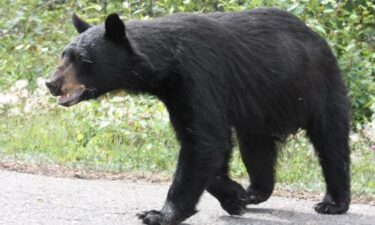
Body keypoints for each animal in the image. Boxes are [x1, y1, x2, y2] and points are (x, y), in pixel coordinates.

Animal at [45, 7, 352, 225]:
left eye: (84, 61)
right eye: (64, 55)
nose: (52, 83)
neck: (166, 67)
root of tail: (319, 37)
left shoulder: (199, 78)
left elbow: (205, 140)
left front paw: (158, 214)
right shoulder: (176, 94)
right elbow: (208, 142)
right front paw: (234, 196)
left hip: (319, 87)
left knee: (331, 142)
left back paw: (333, 202)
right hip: (258, 112)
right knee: (256, 148)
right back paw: (255, 191)